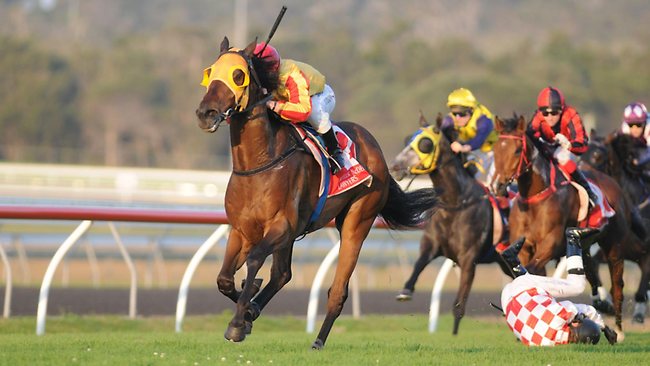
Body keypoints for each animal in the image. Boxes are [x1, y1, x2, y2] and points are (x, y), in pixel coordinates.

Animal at [192, 36, 436, 348]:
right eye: (210, 73)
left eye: (238, 75)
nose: (206, 113)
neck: (259, 164)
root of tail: (376, 147)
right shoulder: (241, 230)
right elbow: (224, 278)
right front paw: (248, 308)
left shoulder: (281, 226)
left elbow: (255, 259)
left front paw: (237, 322)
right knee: (282, 274)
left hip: (357, 222)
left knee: (337, 289)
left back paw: (318, 340)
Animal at [388, 113, 508, 334]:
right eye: (407, 139)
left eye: (425, 144)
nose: (395, 166)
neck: (455, 204)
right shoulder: (432, 245)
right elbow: (419, 263)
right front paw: (405, 290)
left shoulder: (469, 260)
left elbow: (459, 307)